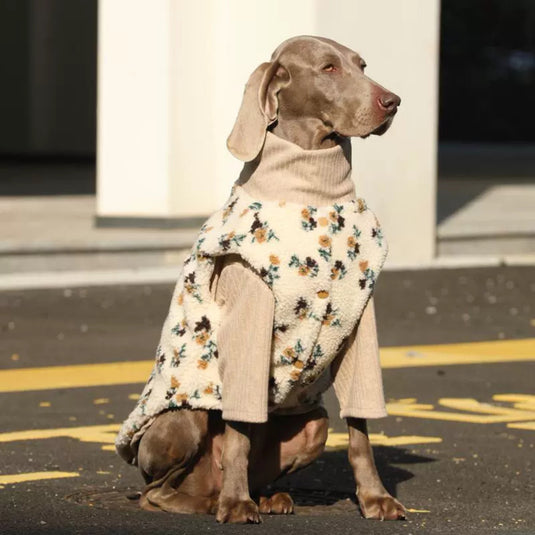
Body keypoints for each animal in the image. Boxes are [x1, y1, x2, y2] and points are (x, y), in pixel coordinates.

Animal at [115, 36, 404, 524]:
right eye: (328, 68)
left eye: (362, 65)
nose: (393, 102)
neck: (313, 191)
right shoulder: (249, 313)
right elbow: (239, 430)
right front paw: (235, 505)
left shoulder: (359, 314)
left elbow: (360, 428)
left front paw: (375, 498)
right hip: (181, 421)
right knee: (158, 490)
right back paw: (213, 500)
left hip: (312, 426)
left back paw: (267, 497)